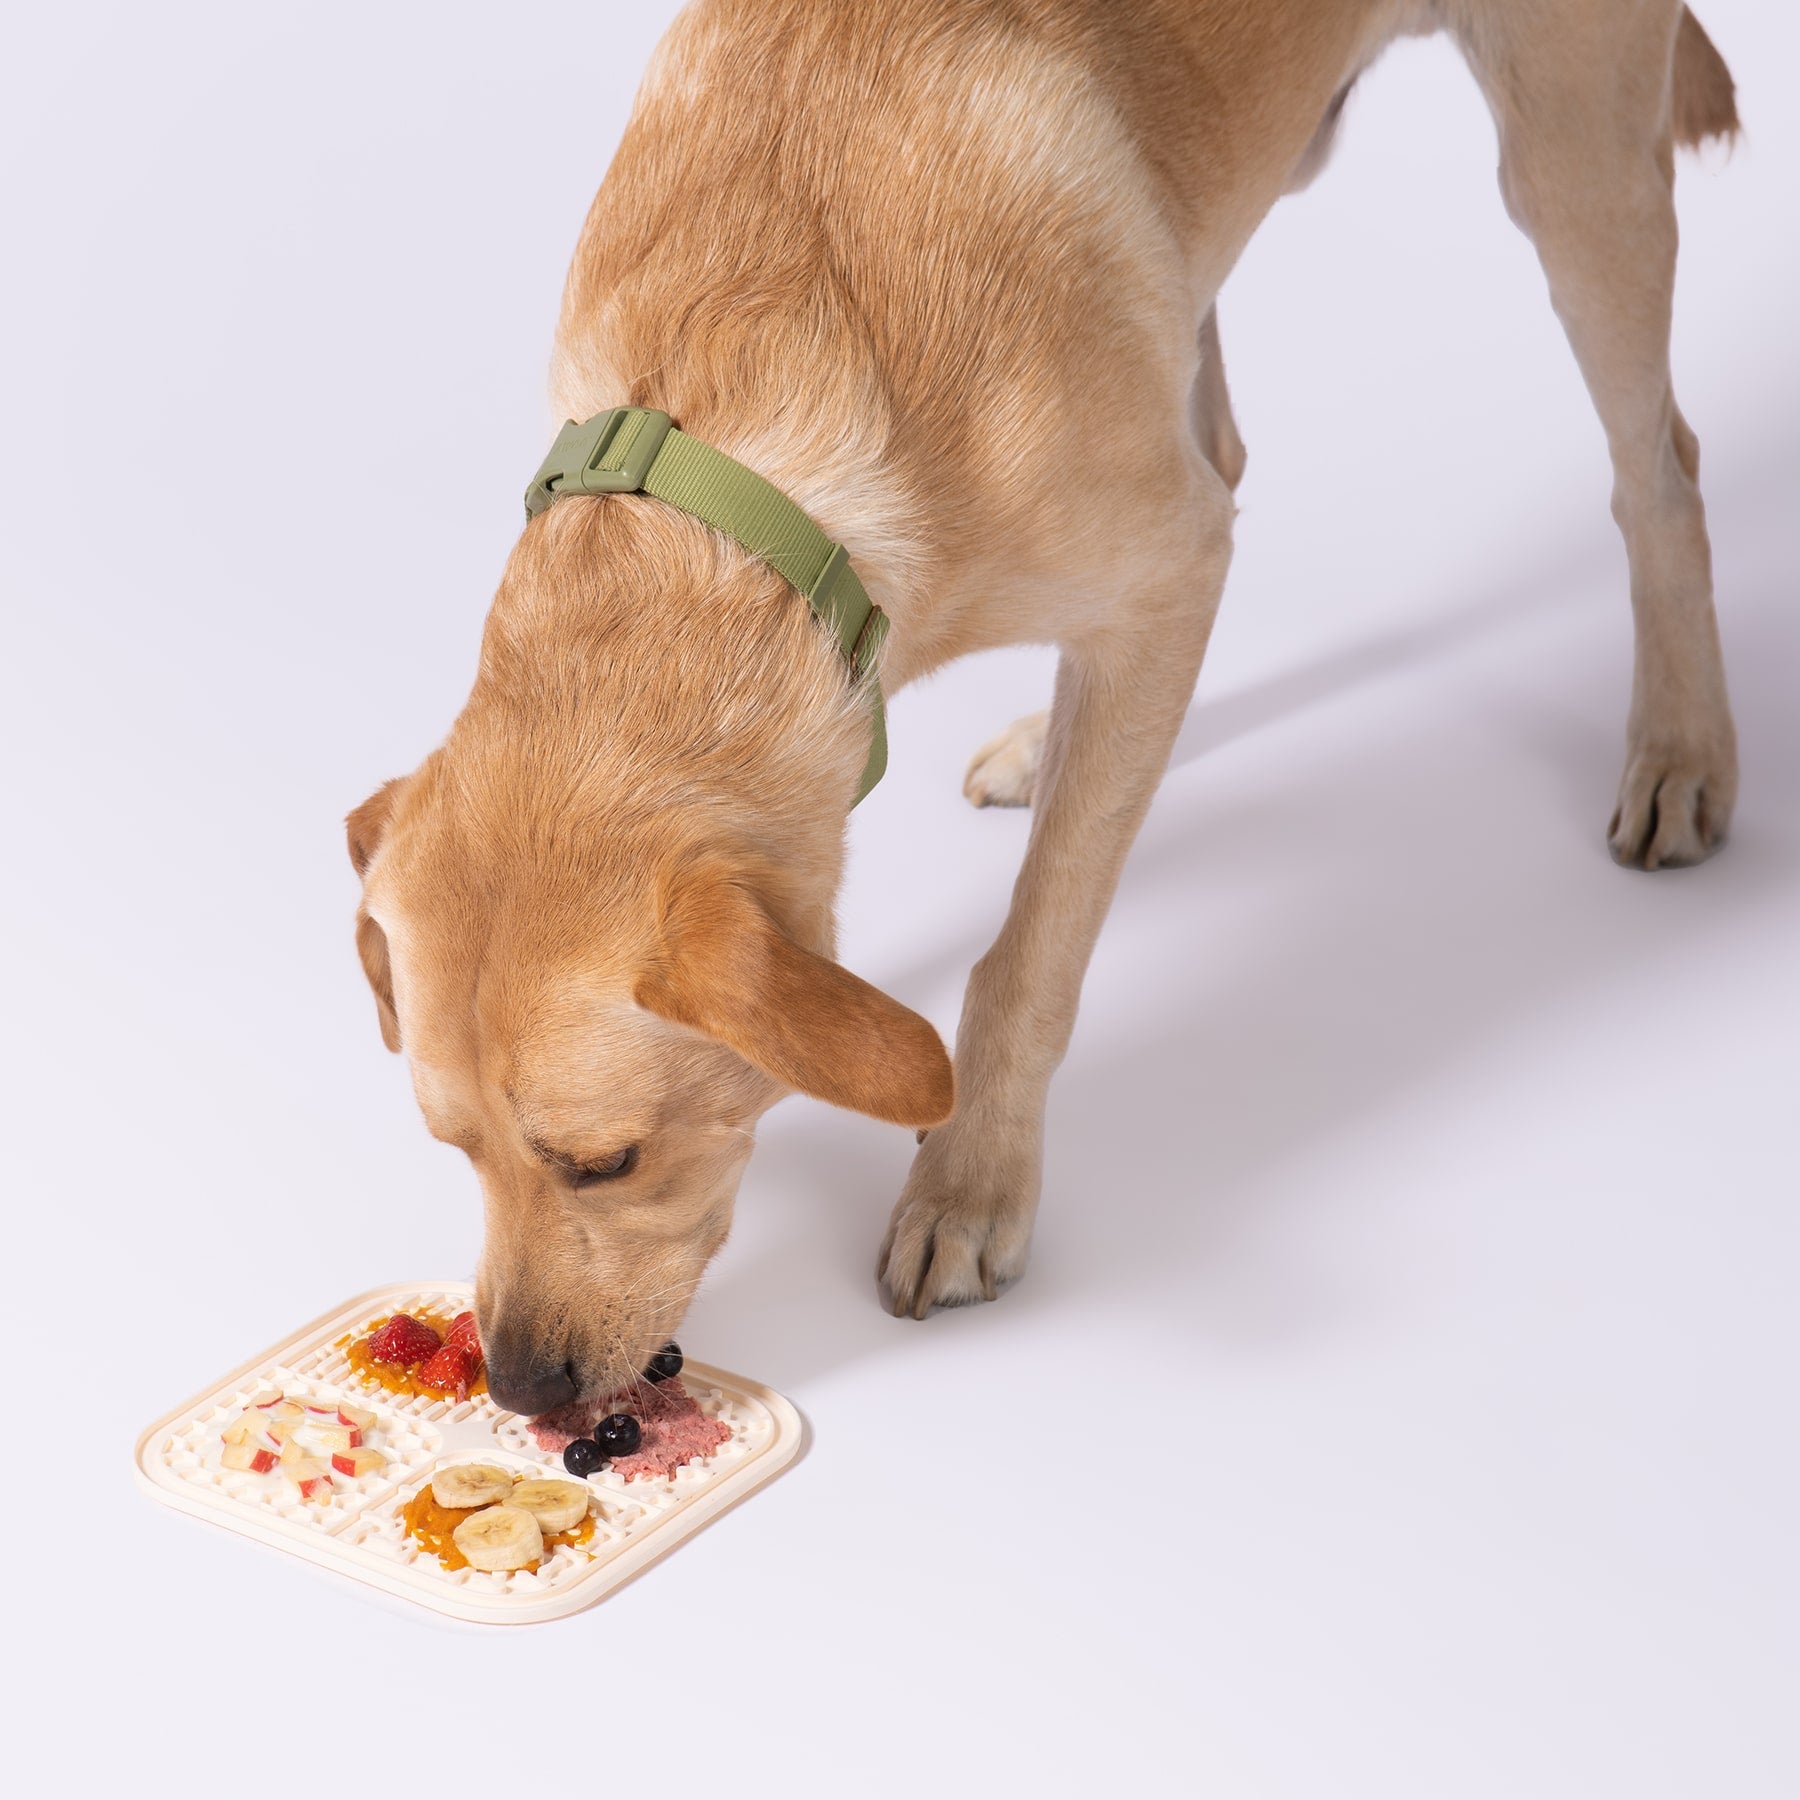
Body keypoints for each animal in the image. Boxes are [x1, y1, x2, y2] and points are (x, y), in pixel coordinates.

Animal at [340, 0, 1742, 1411]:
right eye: (452, 1145)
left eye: (605, 1162)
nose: (520, 1387)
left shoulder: (1167, 561)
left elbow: (1031, 951)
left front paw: (971, 1177)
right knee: (1219, 473)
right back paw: (1051, 739)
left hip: (1573, 166)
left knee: (1658, 469)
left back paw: (1683, 743)